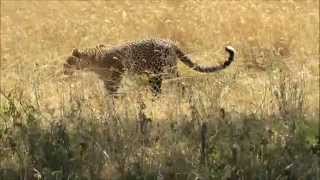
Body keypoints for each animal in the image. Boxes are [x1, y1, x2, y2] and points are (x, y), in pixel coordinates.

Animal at [64, 38, 235, 96]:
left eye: (68, 62)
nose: (64, 71)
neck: (91, 60)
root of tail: (170, 42)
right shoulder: (107, 79)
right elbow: (108, 92)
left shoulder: (117, 74)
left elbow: (113, 92)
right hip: (158, 74)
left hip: (162, 72)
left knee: (178, 85)